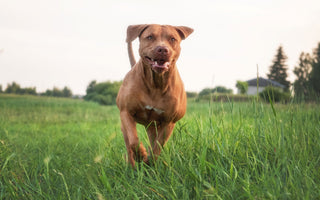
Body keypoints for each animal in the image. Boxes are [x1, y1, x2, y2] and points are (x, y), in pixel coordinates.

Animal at [117, 23, 194, 167]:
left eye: (172, 39)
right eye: (150, 37)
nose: (162, 49)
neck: (156, 83)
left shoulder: (169, 121)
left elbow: (158, 147)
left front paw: (151, 162)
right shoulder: (126, 112)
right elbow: (133, 140)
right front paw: (141, 155)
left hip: (153, 127)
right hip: (125, 124)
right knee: (128, 144)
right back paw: (132, 164)